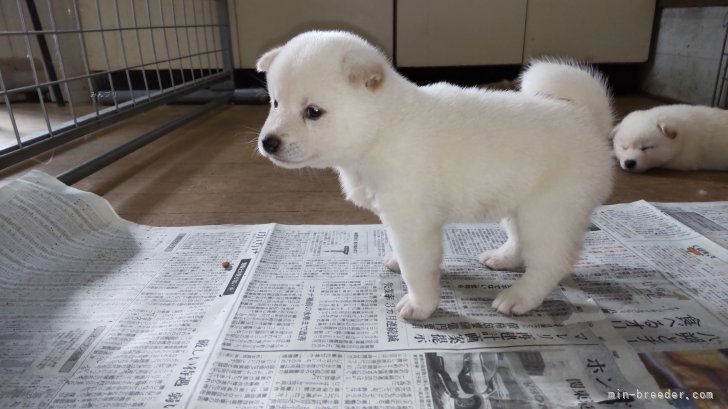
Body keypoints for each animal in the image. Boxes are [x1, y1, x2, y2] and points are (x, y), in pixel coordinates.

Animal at [256, 31, 616, 318]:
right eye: (275, 103)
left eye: (313, 112)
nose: (267, 142)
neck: (384, 128)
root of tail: (589, 122)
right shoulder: (394, 215)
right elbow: (401, 251)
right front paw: (396, 261)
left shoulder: (413, 221)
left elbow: (417, 269)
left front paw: (420, 305)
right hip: (519, 204)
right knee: (520, 242)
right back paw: (502, 258)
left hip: (550, 213)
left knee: (552, 262)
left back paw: (519, 297)